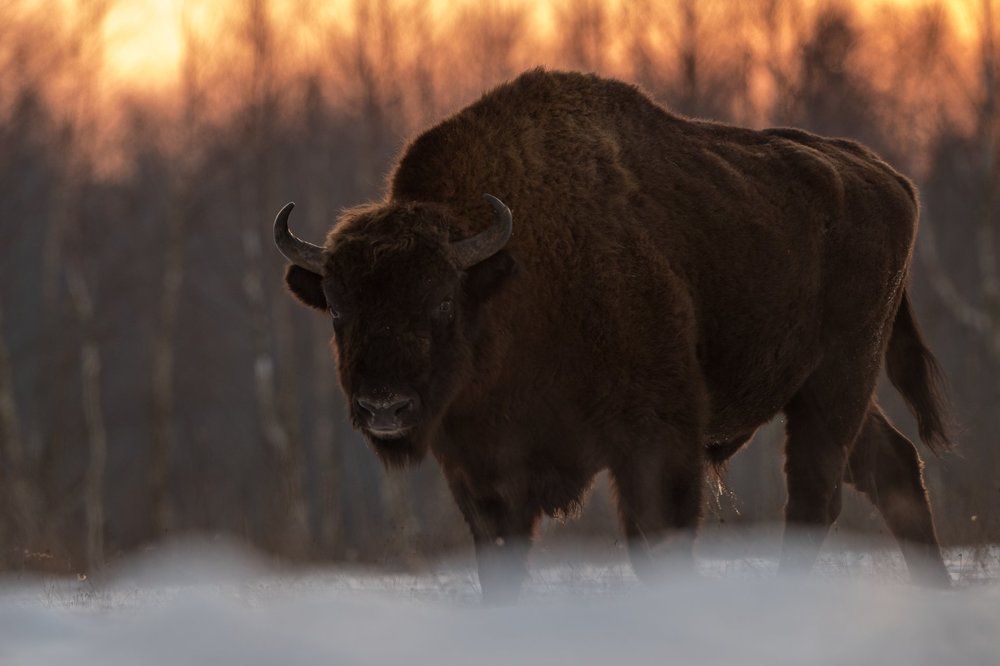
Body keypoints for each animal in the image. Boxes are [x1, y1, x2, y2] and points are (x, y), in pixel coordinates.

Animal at [276, 68, 951, 600]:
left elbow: (657, 537)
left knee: (817, 493)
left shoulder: (655, 439)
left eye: (442, 299)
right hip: (816, 390)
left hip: (839, 377)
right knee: (888, 467)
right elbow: (502, 553)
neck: (510, 278)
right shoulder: (480, 467)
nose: (383, 407)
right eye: (337, 308)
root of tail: (891, 180)